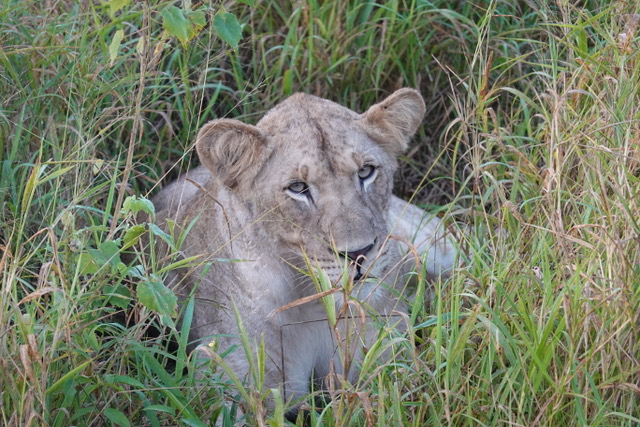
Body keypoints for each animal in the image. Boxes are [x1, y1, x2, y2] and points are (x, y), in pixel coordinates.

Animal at [150, 88, 457, 412]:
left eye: (366, 171)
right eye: (298, 187)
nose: (358, 253)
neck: (313, 304)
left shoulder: (390, 361)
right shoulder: (225, 383)